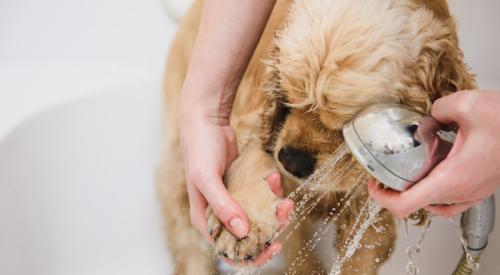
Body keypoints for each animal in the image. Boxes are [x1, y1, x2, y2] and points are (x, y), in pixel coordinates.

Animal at [157, 0, 476, 274]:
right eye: (288, 96)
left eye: (345, 126)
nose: (291, 161)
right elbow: (252, 158)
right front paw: (244, 224)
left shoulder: (371, 208)